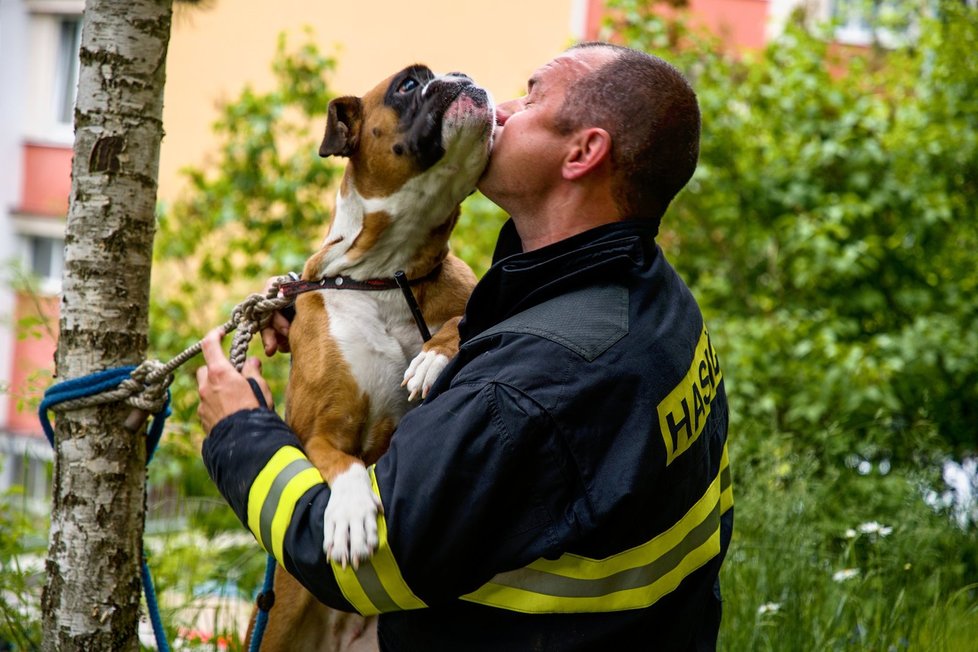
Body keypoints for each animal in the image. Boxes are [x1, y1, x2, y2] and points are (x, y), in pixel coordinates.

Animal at [241, 63, 492, 648]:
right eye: (409, 83)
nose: (462, 75)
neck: (385, 273)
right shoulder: (317, 432)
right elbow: (348, 463)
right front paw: (354, 513)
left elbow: (459, 319)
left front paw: (433, 356)